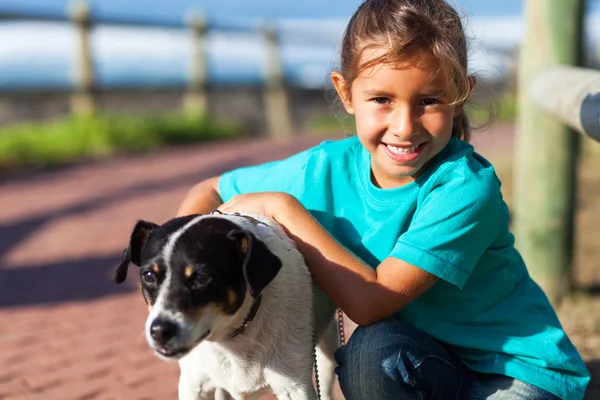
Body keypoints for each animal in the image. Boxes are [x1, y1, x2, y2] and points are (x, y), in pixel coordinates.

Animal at [112, 212, 338, 400]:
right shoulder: (193, 385)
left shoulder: (294, 387)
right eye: (148, 276)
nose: (159, 331)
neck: (232, 340)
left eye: (202, 278)